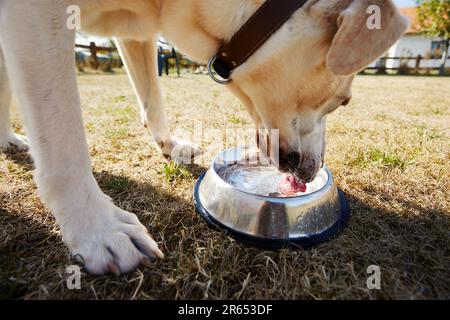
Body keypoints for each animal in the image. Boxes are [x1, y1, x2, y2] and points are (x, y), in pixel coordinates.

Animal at [0, 0, 408, 276]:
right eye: (344, 101)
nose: (314, 170)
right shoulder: (37, 16)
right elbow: (65, 141)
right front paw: (98, 228)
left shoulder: (136, 34)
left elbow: (153, 100)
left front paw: (170, 145)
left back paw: (9, 139)